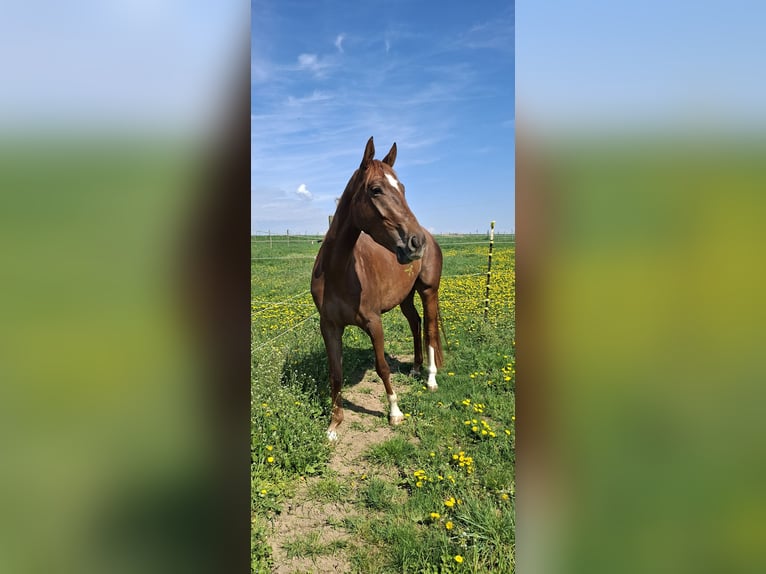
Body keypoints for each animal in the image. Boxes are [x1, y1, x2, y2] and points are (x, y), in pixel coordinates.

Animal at [311, 137, 444, 441]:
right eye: (375, 189)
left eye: (402, 188)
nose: (415, 243)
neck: (339, 271)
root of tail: (432, 237)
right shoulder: (329, 326)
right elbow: (336, 373)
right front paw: (333, 425)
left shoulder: (374, 322)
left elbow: (382, 366)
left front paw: (395, 412)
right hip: (406, 297)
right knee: (416, 323)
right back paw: (415, 368)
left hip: (428, 291)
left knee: (430, 329)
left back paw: (431, 378)